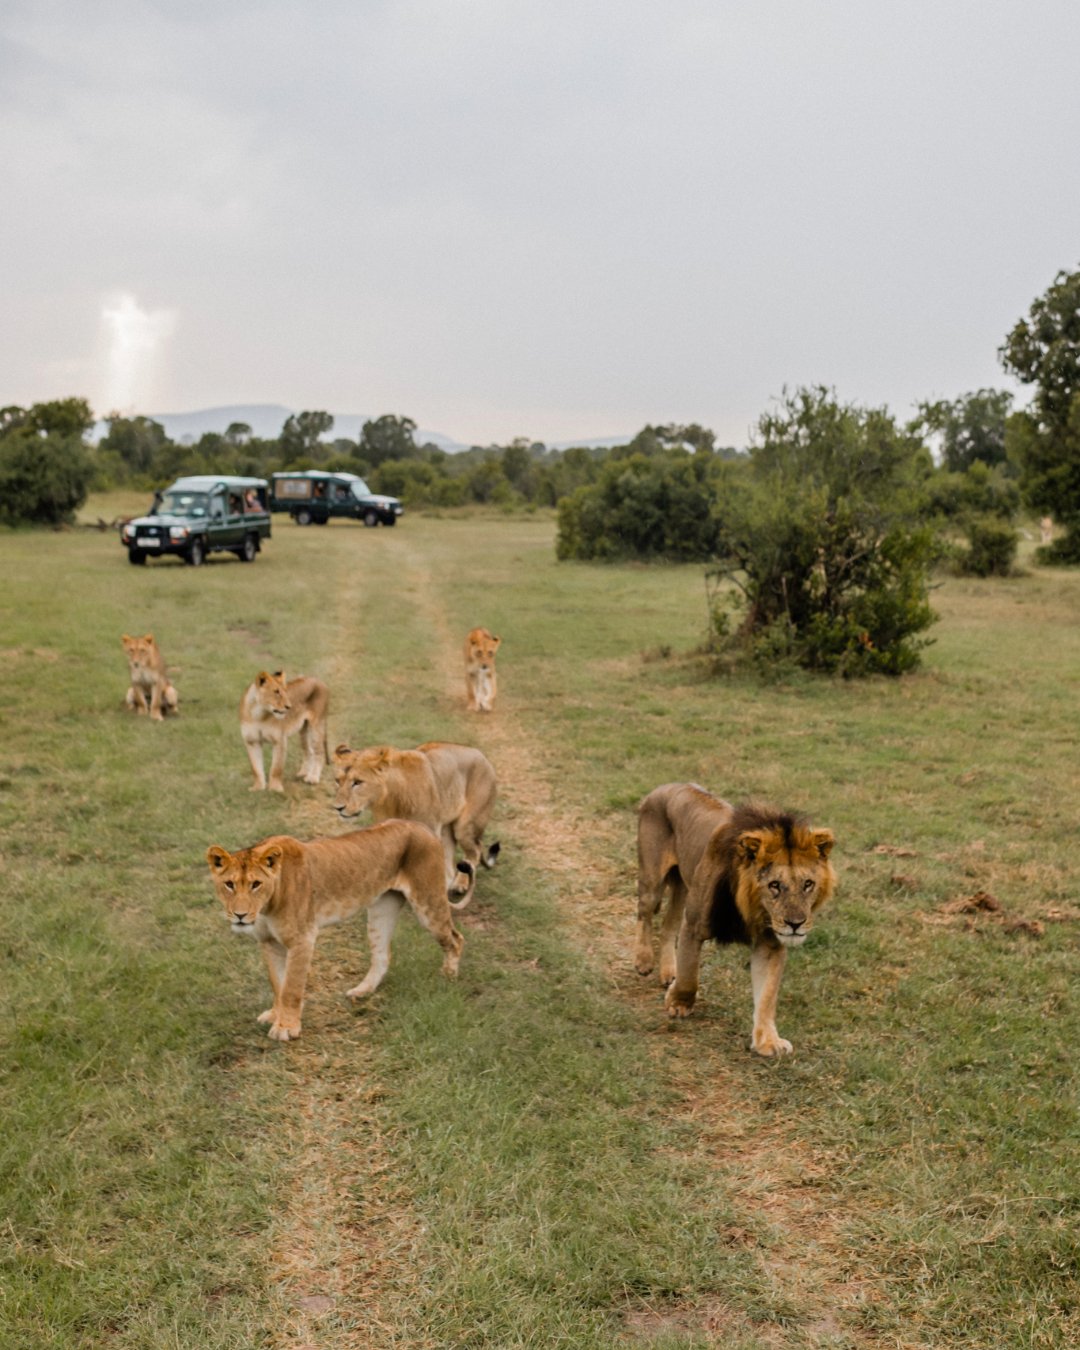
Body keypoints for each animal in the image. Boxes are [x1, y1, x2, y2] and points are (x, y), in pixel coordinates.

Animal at [206, 821, 466, 1042]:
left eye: (256, 884)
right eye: (229, 884)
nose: (240, 915)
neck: (266, 906)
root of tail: (421, 826)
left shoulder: (303, 939)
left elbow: (291, 987)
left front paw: (287, 1028)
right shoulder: (270, 943)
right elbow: (277, 984)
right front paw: (275, 1015)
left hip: (427, 902)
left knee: (455, 939)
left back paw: (449, 977)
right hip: (382, 909)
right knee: (382, 955)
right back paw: (362, 991)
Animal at [332, 740, 499, 902]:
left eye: (358, 782)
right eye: (337, 781)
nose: (337, 808)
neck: (390, 799)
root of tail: (483, 757)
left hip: (465, 827)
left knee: (474, 851)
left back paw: (460, 884)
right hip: (446, 830)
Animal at [634, 782, 836, 1057]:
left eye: (808, 884)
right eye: (774, 885)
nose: (795, 924)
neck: (753, 909)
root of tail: (664, 786)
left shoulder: (771, 943)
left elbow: (767, 996)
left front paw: (768, 1042)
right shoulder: (694, 925)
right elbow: (690, 974)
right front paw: (678, 1003)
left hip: (683, 886)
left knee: (668, 926)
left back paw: (667, 972)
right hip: (653, 881)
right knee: (644, 913)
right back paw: (644, 961)